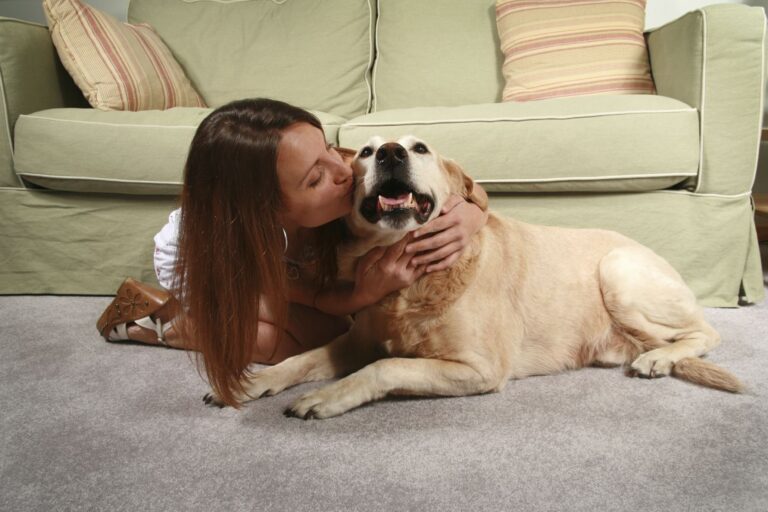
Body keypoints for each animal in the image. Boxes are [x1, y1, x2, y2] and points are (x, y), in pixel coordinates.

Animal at [201, 134, 740, 418]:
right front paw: (252, 382)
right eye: (365, 152)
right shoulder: (355, 340)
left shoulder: (477, 367)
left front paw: (327, 397)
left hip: (618, 272)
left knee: (705, 332)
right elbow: (300, 360)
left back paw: (660, 359)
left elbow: (384, 367)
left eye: (420, 148)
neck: (409, 282)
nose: (391, 151)